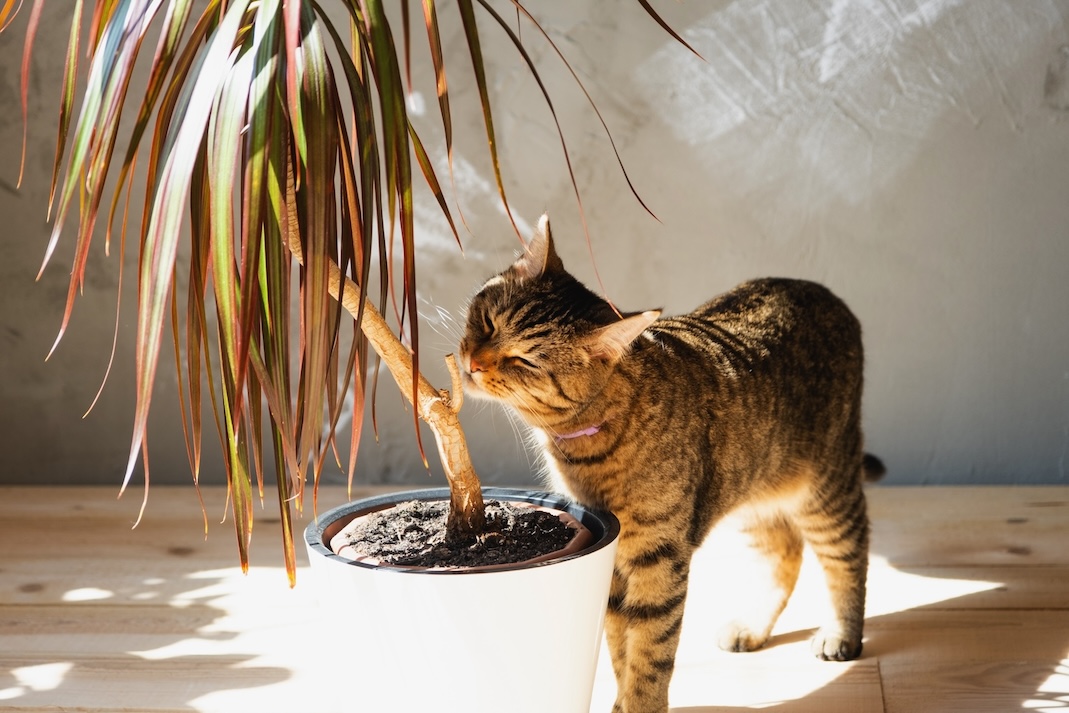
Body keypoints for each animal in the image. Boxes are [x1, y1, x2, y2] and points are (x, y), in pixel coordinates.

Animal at [459, 214, 885, 709]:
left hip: (826, 487)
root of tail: (818, 289)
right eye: (488, 321)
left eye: (524, 360)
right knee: (785, 552)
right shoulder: (611, 555)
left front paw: (640, 705)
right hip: (751, 491)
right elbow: (620, 645)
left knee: (850, 552)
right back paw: (753, 626)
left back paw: (841, 633)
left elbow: (650, 649)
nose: (472, 363)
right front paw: (620, 699)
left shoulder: (659, 555)